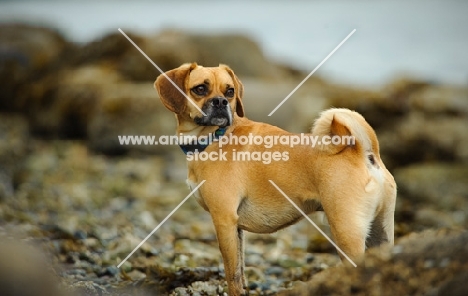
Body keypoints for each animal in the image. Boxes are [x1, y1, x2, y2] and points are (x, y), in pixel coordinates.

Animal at [155, 63, 396, 294]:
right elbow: (240, 272)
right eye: (200, 89)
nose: (221, 101)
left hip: (347, 234)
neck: (215, 136)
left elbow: (233, 277)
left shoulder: (224, 221)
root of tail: (362, 151)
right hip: (380, 234)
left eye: (230, 92)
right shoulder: (236, 230)